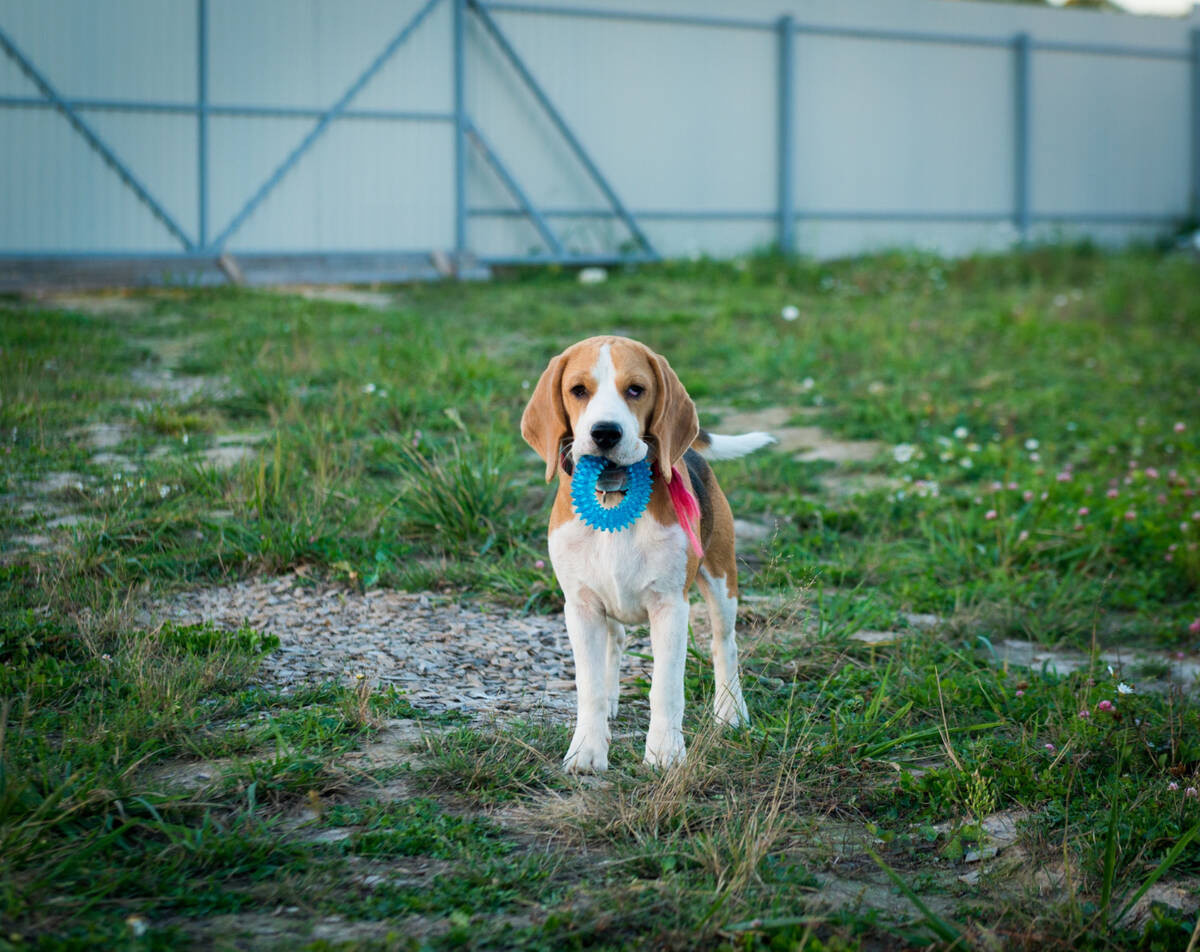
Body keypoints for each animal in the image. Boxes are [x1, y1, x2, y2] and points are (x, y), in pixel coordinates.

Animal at [520, 331, 772, 768]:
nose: (605, 433)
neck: (613, 493)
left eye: (636, 389)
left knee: (724, 644)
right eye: (578, 390)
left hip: (721, 581)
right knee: (616, 641)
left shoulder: (670, 605)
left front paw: (665, 752)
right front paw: (587, 750)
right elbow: (589, 687)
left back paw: (730, 712)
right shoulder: (580, 607)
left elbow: (666, 688)